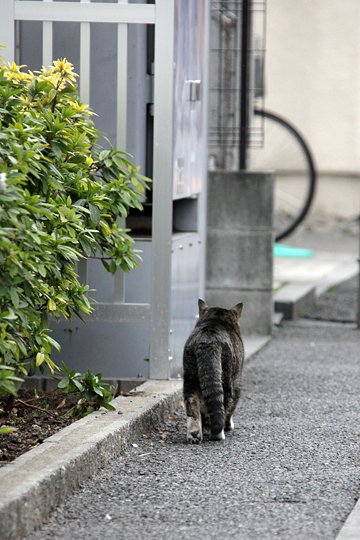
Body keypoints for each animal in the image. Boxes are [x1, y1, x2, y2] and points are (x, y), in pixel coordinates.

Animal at [183, 300, 245, 442]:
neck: (216, 319)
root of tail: (208, 339)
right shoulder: (237, 382)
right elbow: (231, 407)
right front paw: (228, 425)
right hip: (226, 379)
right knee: (222, 404)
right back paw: (218, 434)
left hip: (190, 376)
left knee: (192, 403)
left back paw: (194, 435)